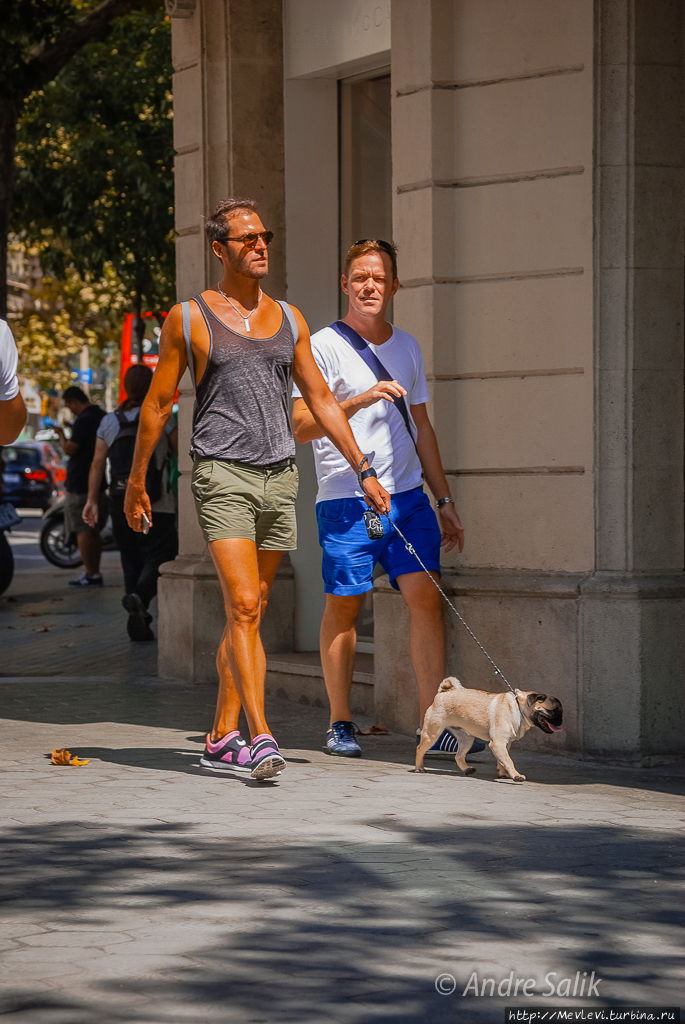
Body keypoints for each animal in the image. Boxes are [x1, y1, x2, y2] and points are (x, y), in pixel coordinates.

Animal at [413, 679, 565, 782]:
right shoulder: (498, 743)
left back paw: (467, 769)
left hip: (466, 739)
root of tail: (443, 693)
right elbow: (508, 760)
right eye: (553, 711)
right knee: (420, 748)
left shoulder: (504, 744)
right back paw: (419, 768)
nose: (561, 720)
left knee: (459, 756)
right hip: (432, 733)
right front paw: (516, 775)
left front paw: (503, 773)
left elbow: (502, 760)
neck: (518, 709)